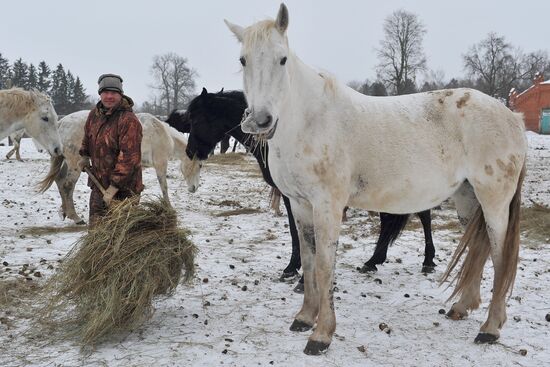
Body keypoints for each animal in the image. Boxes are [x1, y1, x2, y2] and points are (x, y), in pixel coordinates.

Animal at [38, 110, 198, 224]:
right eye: (200, 165)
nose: (194, 188)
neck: (162, 133)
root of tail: (61, 123)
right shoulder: (160, 164)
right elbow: (164, 187)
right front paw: (169, 208)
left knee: (60, 181)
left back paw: (65, 212)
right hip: (74, 164)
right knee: (67, 185)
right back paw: (76, 218)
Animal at [175, 87, 438, 292]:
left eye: (196, 119)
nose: (190, 151)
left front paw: (300, 275)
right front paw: (293, 268)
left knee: (422, 216)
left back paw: (426, 260)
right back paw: (373, 261)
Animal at [227, 4, 532, 356]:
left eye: (282, 59)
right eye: (243, 60)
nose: (261, 121)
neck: (308, 120)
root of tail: (512, 117)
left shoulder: (328, 206)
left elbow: (325, 266)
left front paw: (321, 334)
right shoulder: (301, 206)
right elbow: (308, 259)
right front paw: (304, 317)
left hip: (495, 201)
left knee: (500, 256)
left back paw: (490, 328)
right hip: (468, 199)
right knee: (479, 249)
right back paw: (461, 308)